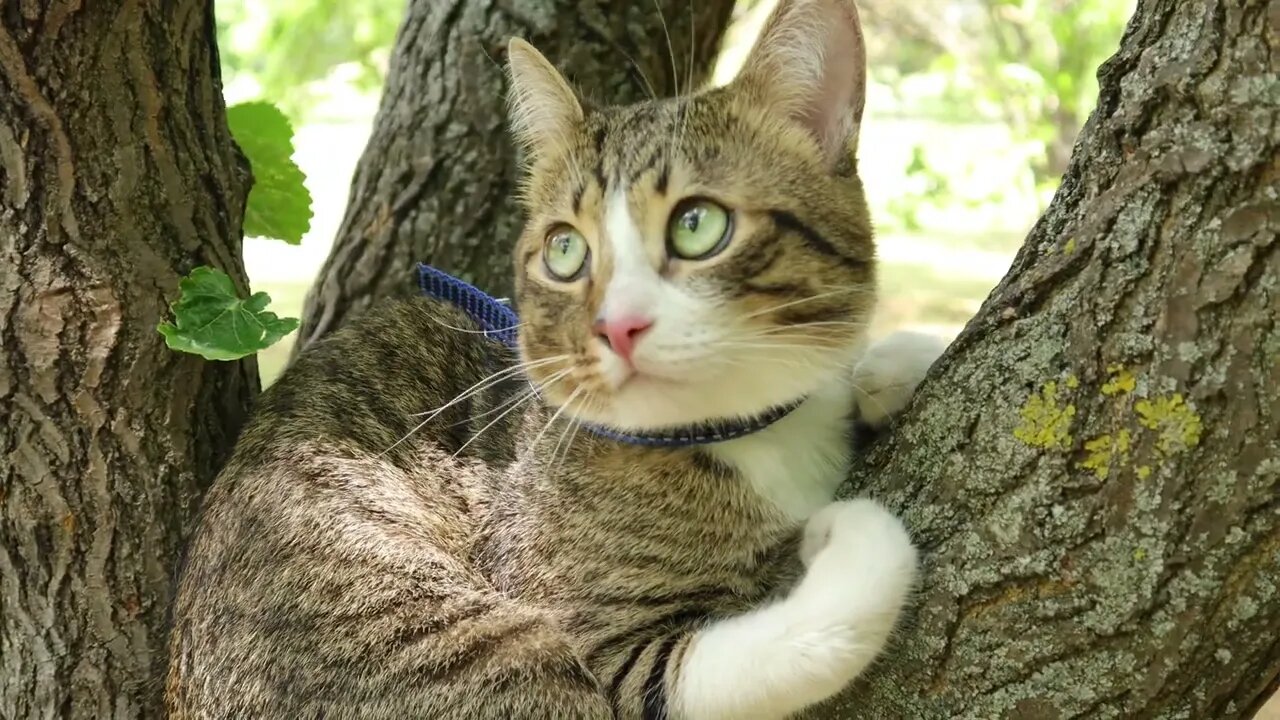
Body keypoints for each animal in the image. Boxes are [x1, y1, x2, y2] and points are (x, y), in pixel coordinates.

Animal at [165, 1, 947, 717]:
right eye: (566, 250)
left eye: (698, 226)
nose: (617, 327)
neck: (745, 432)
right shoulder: (605, 646)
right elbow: (770, 650)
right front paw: (854, 535)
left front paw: (892, 363)